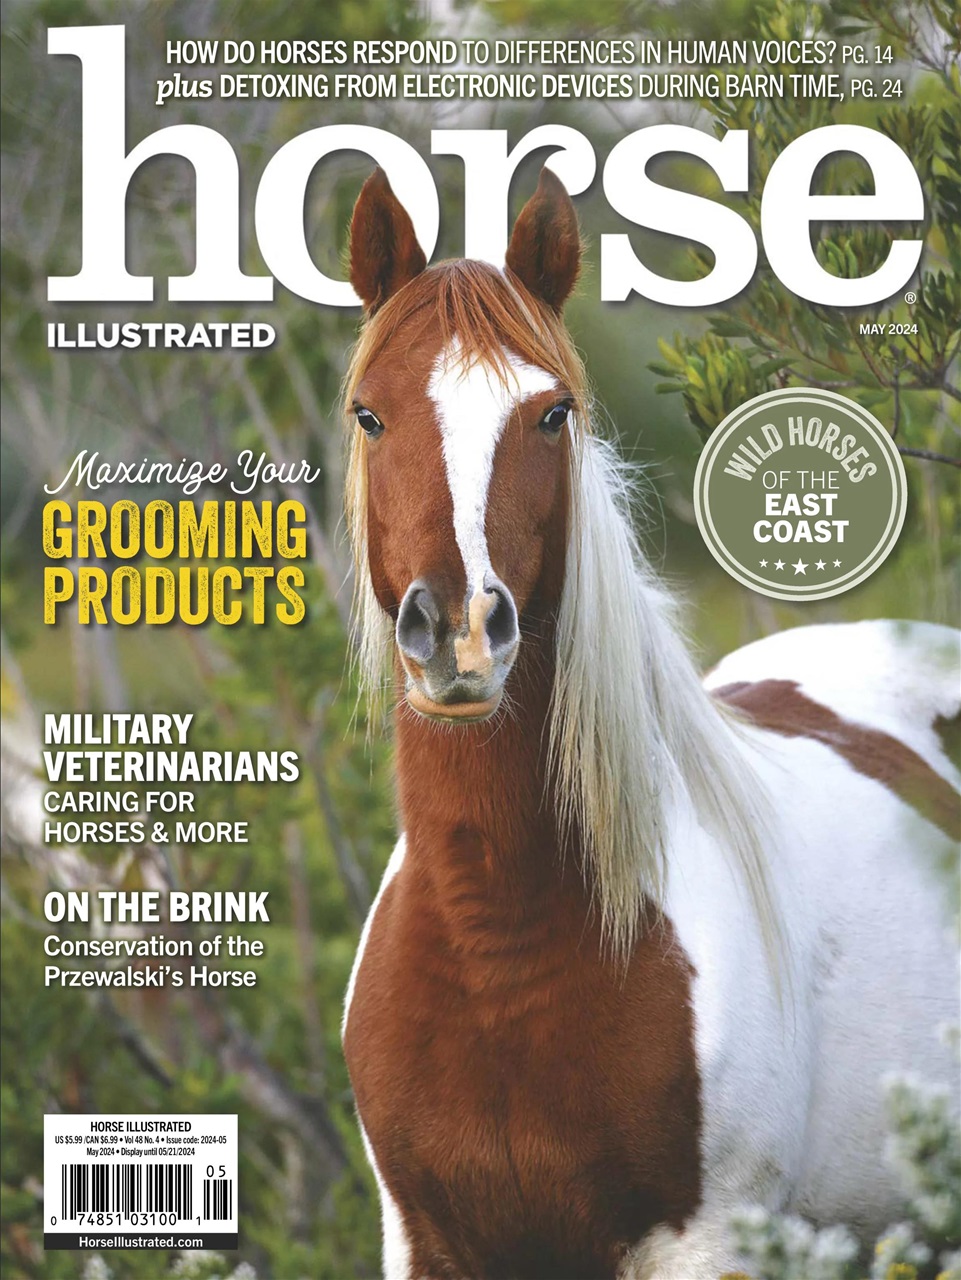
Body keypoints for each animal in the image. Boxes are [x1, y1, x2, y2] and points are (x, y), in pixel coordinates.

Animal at [340, 165, 960, 1280]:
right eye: (371, 415)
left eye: (551, 415)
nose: (457, 633)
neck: (496, 942)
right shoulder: (427, 1243)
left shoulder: (703, 1242)